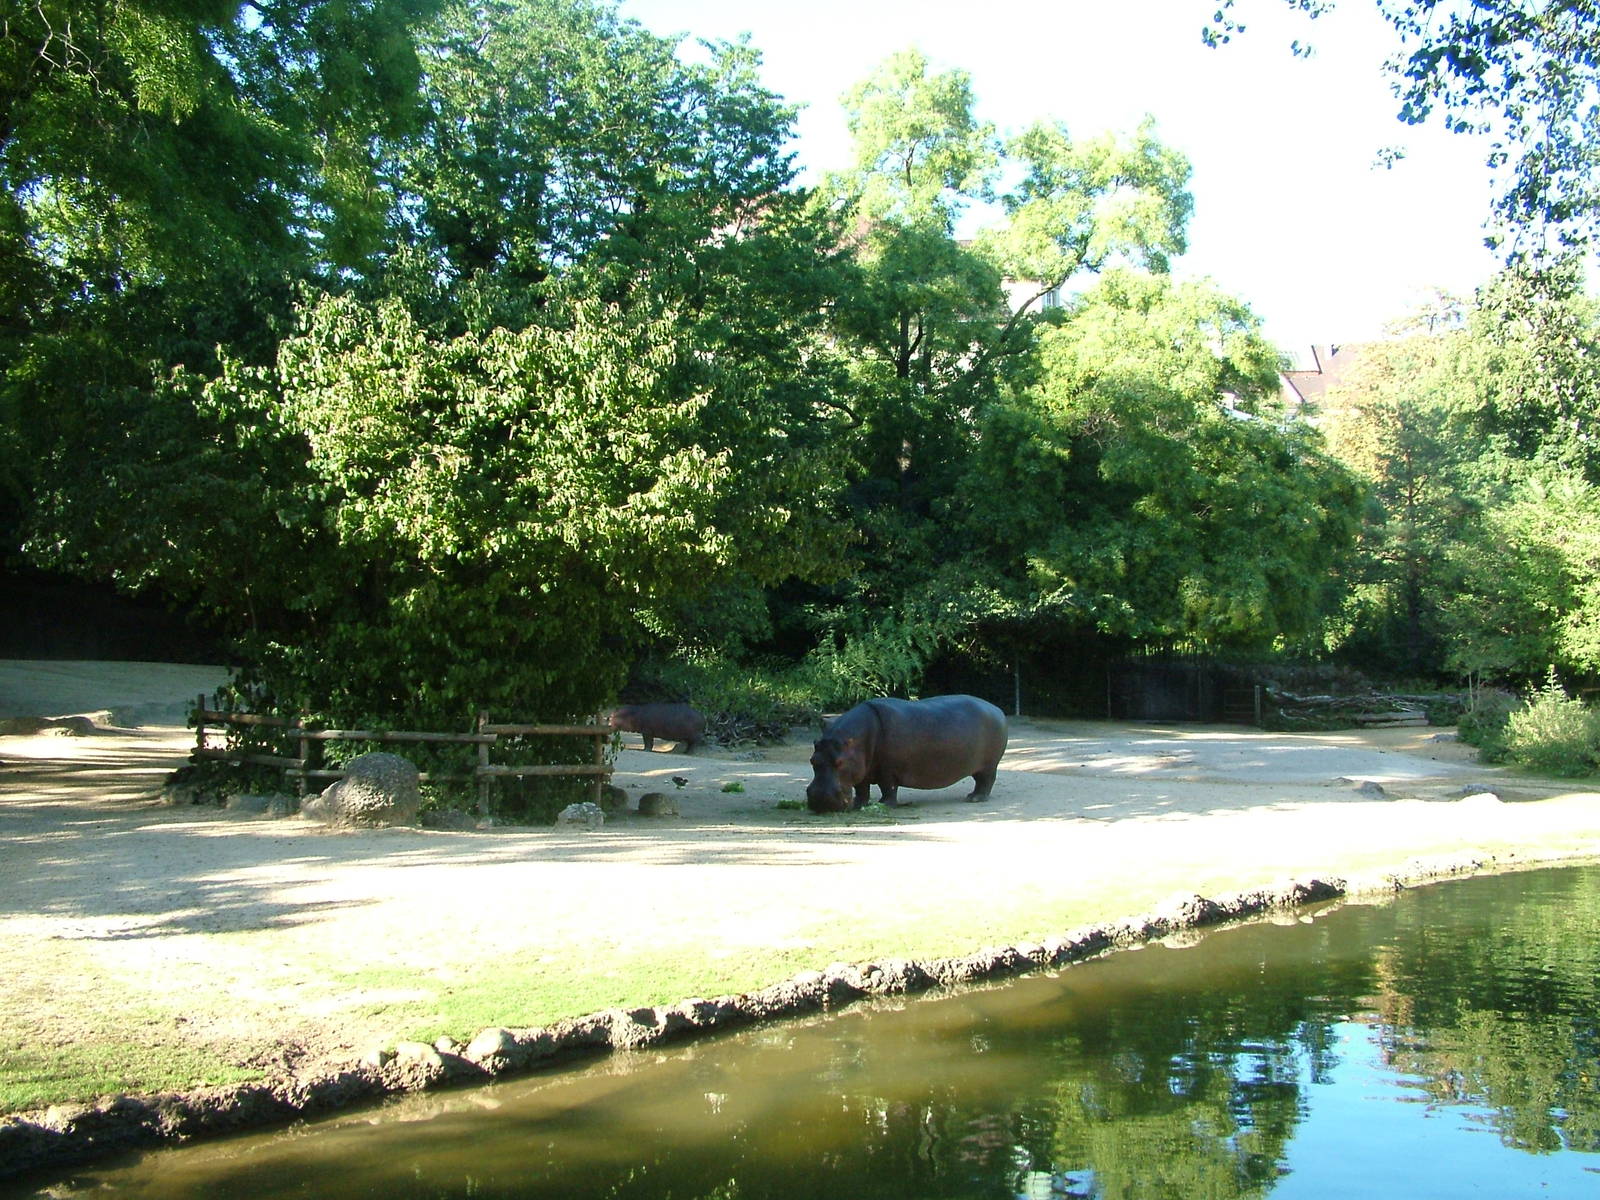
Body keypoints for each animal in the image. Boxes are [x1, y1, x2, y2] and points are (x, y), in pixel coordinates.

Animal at [805, 694, 1007, 813]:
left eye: (839, 762)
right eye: (812, 760)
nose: (820, 800)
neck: (853, 741)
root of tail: (997, 709)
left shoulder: (888, 769)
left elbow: (888, 788)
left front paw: (883, 804)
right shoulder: (861, 769)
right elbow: (862, 788)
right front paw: (859, 805)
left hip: (988, 766)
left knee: (986, 781)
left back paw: (974, 798)